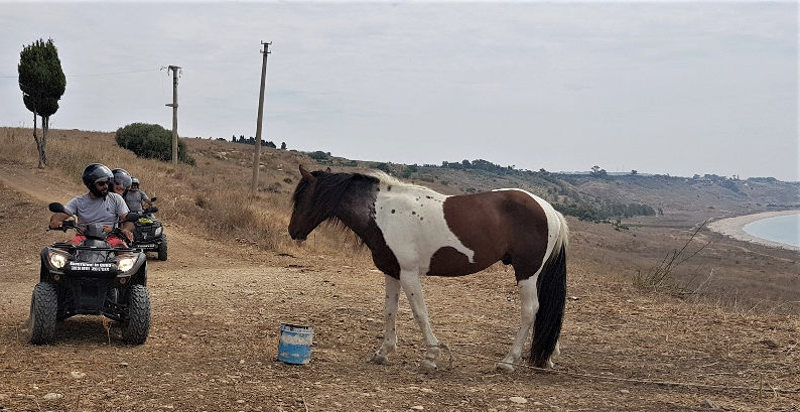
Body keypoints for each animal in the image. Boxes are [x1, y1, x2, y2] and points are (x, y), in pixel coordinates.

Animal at [288, 165, 568, 371]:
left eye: (302, 198)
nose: (293, 232)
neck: (385, 214)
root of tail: (550, 210)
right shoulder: (392, 272)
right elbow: (389, 312)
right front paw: (383, 352)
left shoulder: (409, 274)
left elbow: (419, 313)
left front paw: (431, 356)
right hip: (535, 274)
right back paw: (548, 356)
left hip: (526, 273)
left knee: (530, 310)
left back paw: (508, 361)